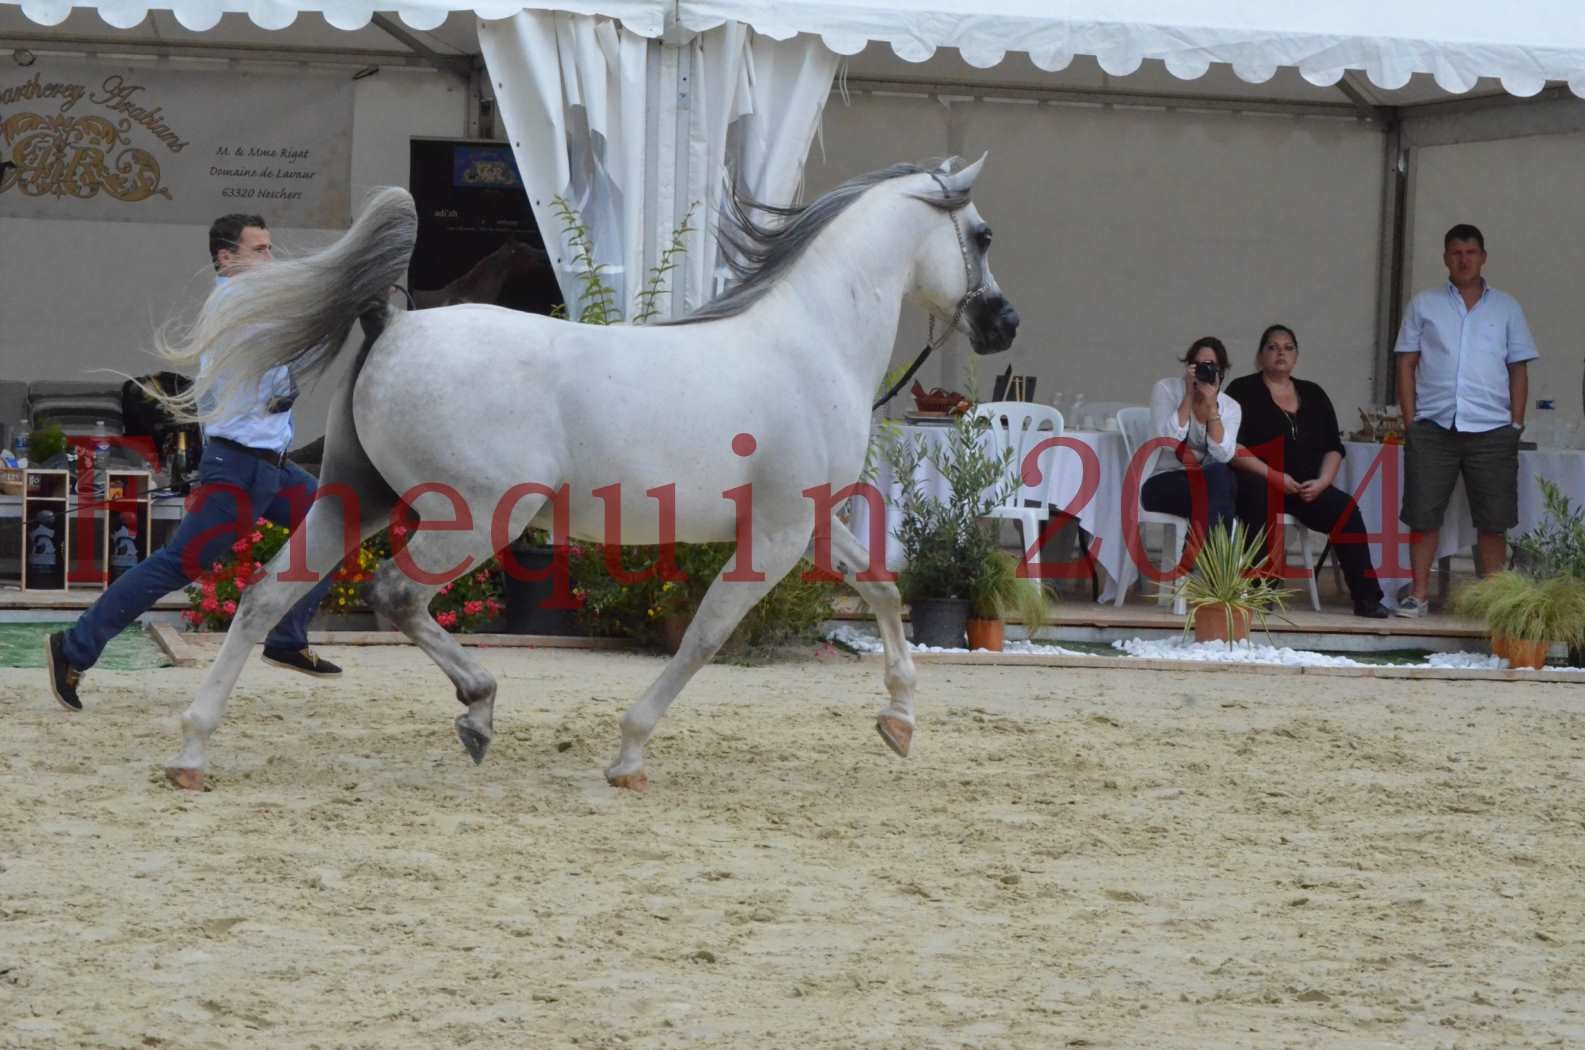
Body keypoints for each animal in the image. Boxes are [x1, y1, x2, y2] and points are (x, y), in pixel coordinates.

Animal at [157, 154, 1014, 789]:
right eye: (981, 233)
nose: (1002, 323)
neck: (810, 343)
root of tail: (392, 322)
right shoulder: (773, 535)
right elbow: (705, 636)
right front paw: (628, 755)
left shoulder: (810, 521)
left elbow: (883, 590)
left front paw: (899, 723)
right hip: (475, 518)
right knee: (395, 594)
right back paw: (476, 707)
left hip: (350, 501)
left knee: (264, 597)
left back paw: (193, 749)